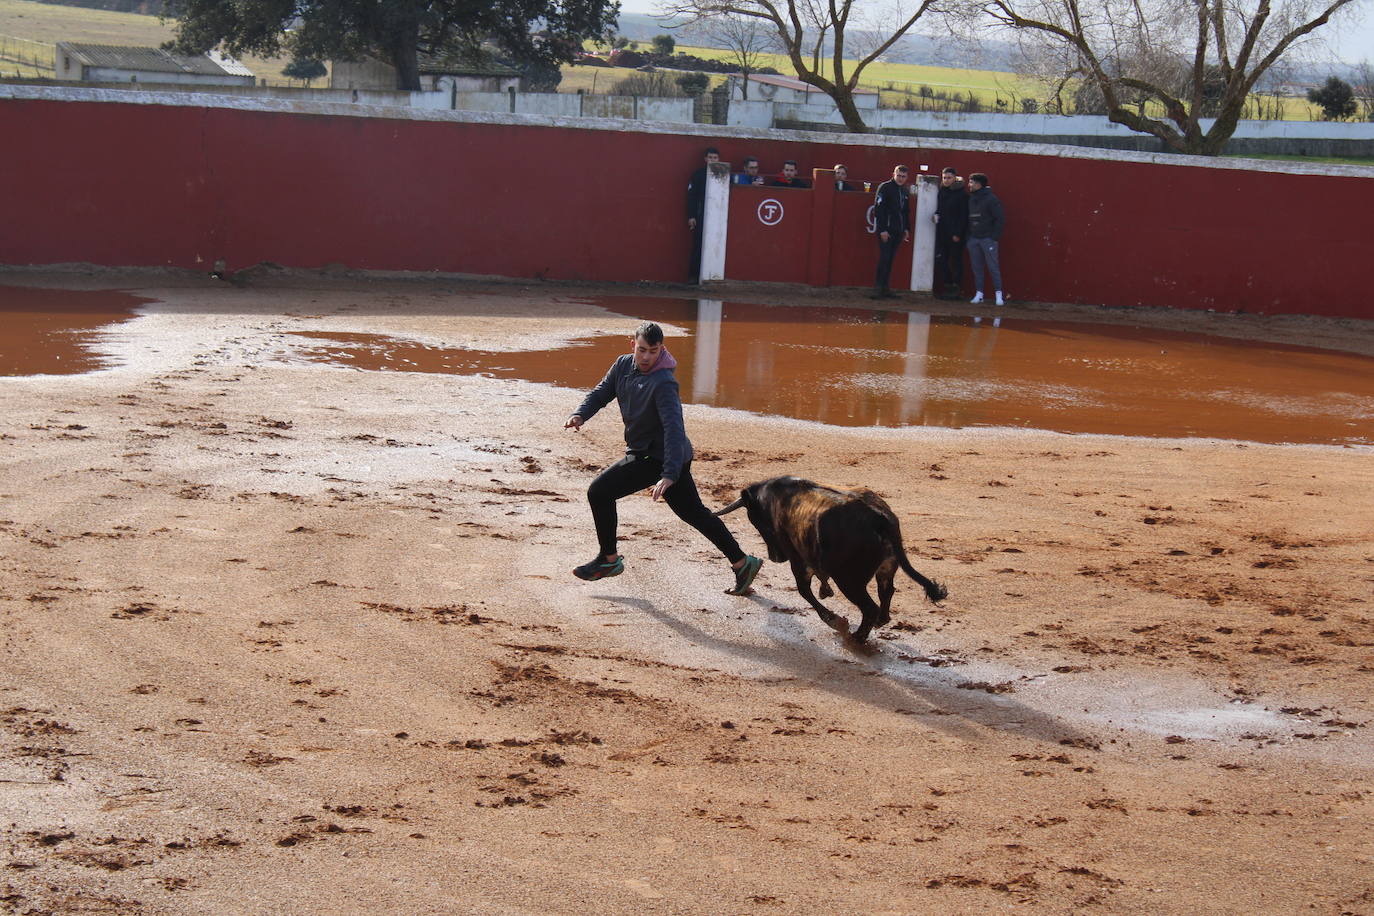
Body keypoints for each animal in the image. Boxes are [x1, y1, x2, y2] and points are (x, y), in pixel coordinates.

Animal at [719, 477, 945, 642]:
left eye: (757, 522)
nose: (775, 557)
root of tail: (879, 519)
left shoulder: (797, 558)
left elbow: (804, 590)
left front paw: (833, 619)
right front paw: (826, 594)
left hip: (849, 581)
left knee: (869, 607)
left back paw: (856, 637)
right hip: (885, 570)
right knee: (886, 592)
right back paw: (878, 623)